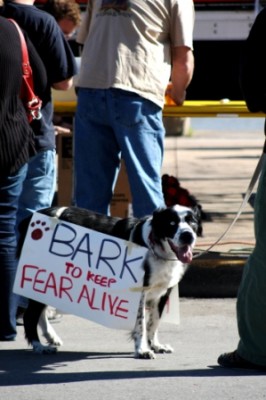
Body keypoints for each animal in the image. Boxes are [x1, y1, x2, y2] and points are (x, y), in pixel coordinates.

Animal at [18, 205, 200, 358]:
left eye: (192, 222)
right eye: (171, 223)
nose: (187, 235)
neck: (156, 248)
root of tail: (31, 217)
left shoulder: (161, 293)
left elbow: (154, 322)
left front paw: (155, 345)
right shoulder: (139, 293)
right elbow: (141, 324)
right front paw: (142, 350)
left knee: (39, 311)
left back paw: (51, 337)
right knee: (30, 315)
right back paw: (39, 346)